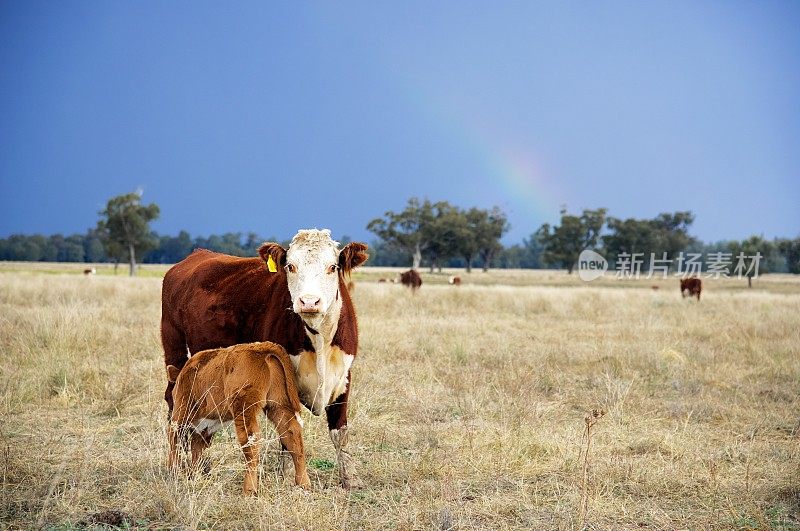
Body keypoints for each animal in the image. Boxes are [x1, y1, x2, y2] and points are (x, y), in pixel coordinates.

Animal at [166, 342, 310, 496]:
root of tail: (263, 347)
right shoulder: (204, 429)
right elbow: (197, 449)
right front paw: (194, 475)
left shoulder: (179, 416)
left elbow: (175, 442)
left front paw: (174, 472)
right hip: (279, 405)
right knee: (292, 435)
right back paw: (303, 483)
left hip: (244, 408)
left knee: (251, 441)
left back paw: (249, 489)